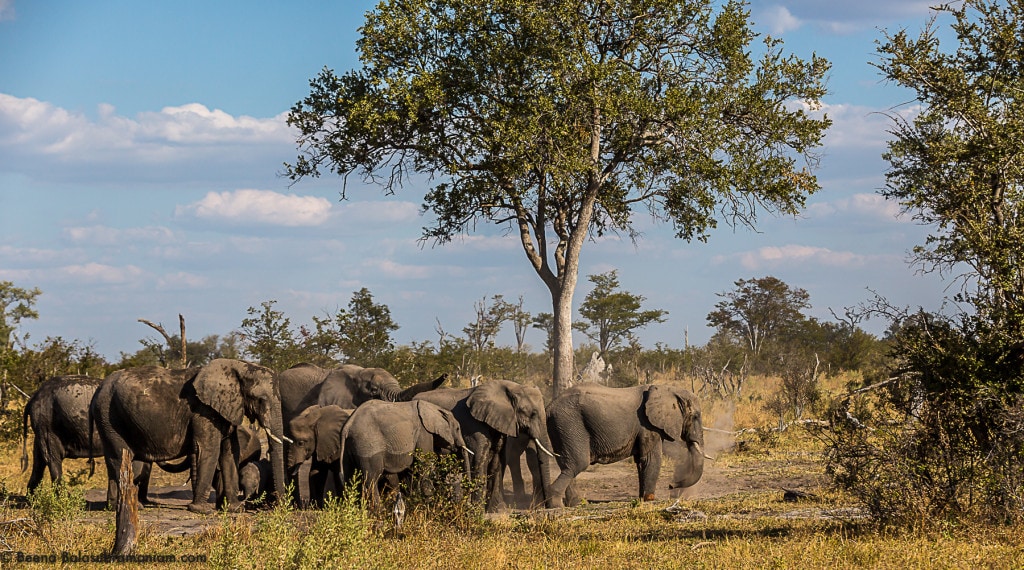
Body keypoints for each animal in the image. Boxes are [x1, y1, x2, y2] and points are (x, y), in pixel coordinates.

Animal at [90, 358, 288, 513]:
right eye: (260, 400)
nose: (278, 506)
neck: (238, 366)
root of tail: (98, 389)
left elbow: (230, 453)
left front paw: (235, 509)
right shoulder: (203, 411)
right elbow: (209, 449)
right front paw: (202, 510)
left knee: (115, 460)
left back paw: (117, 507)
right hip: (109, 416)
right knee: (120, 457)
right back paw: (133, 507)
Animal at [339, 397, 475, 505]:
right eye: (457, 429)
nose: (468, 503)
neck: (435, 408)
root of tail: (347, 426)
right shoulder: (423, 433)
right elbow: (424, 463)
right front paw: (427, 503)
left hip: (349, 448)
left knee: (349, 479)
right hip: (367, 445)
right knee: (371, 480)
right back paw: (378, 511)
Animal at [413, 378, 557, 511]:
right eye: (532, 414)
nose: (548, 507)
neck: (510, 388)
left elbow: (497, 462)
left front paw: (498, 509)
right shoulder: (473, 425)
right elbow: (479, 459)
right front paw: (477, 509)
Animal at [544, 384, 704, 505]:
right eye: (696, 416)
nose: (671, 485)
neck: (667, 389)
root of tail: (549, 406)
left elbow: (641, 461)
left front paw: (642, 499)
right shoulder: (648, 426)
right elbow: (651, 460)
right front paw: (649, 500)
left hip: (560, 427)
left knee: (566, 464)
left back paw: (574, 503)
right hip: (569, 423)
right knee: (578, 463)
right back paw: (556, 505)